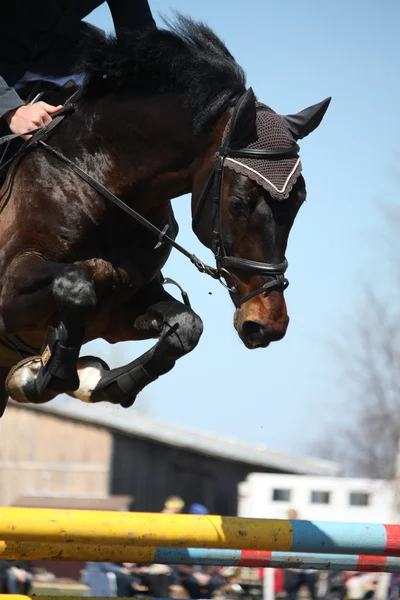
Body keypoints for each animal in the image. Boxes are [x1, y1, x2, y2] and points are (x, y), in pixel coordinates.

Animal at [0, 16, 330, 414]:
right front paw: (41, 376)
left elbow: (186, 326)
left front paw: (103, 383)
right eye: (238, 202)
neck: (101, 181)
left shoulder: (119, 312)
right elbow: (78, 283)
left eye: (299, 203)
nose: (267, 323)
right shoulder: (9, 287)